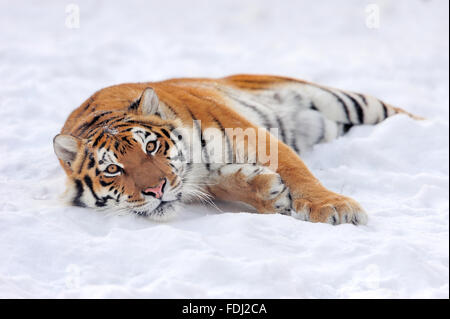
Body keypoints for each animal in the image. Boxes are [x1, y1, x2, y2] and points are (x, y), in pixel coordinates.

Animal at [52, 74, 418, 225]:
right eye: (113, 169)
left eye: (151, 146)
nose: (155, 190)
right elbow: (223, 185)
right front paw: (268, 192)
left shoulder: (251, 134)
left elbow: (296, 171)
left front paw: (334, 208)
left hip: (347, 101)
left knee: (406, 114)